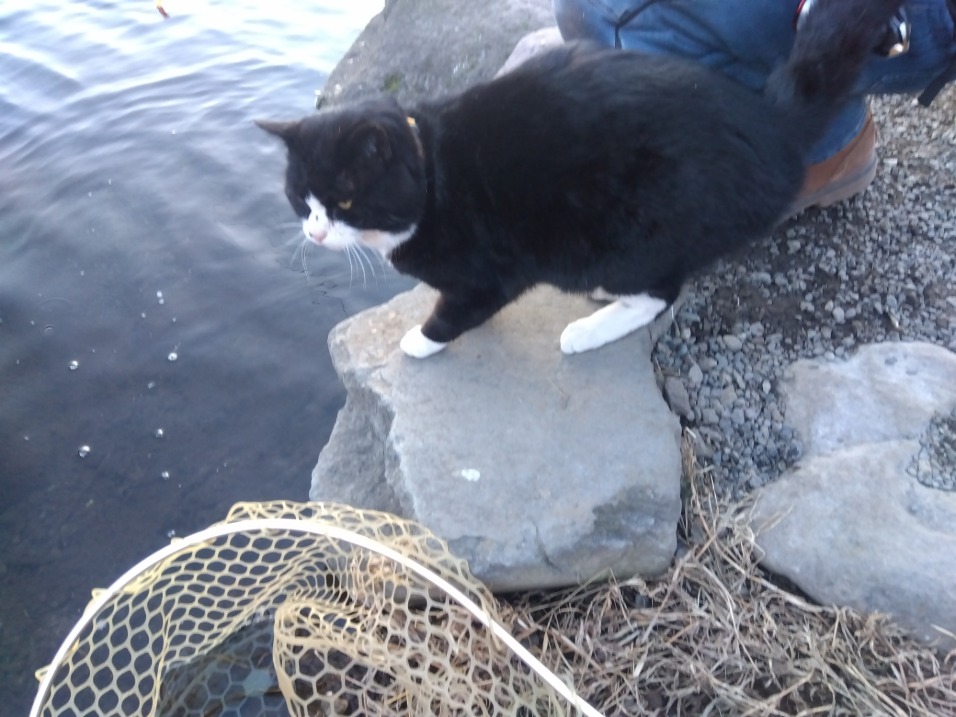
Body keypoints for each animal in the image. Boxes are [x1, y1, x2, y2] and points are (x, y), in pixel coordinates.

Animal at [258, 0, 902, 359]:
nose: (315, 234)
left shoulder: (490, 270)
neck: (432, 174)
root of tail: (768, 124)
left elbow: (459, 309)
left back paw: (588, 329)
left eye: (344, 200)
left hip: (629, 230)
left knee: (661, 292)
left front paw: (418, 341)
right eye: (299, 200)